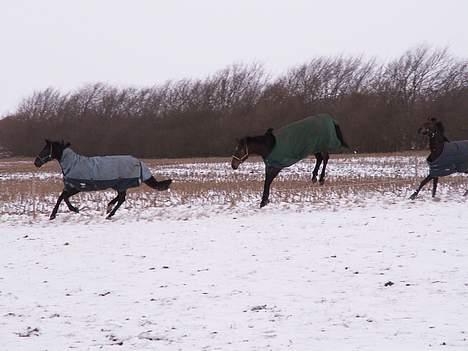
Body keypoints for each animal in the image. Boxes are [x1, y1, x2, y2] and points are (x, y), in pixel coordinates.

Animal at [34, 140, 173, 220]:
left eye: (45, 149)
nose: (36, 162)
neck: (72, 164)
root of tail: (139, 162)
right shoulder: (73, 186)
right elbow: (62, 197)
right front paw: (57, 214)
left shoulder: (78, 186)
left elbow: (63, 197)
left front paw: (71, 210)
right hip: (119, 185)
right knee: (121, 198)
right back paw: (109, 208)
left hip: (122, 184)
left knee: (122, 199)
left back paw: (109, 214)